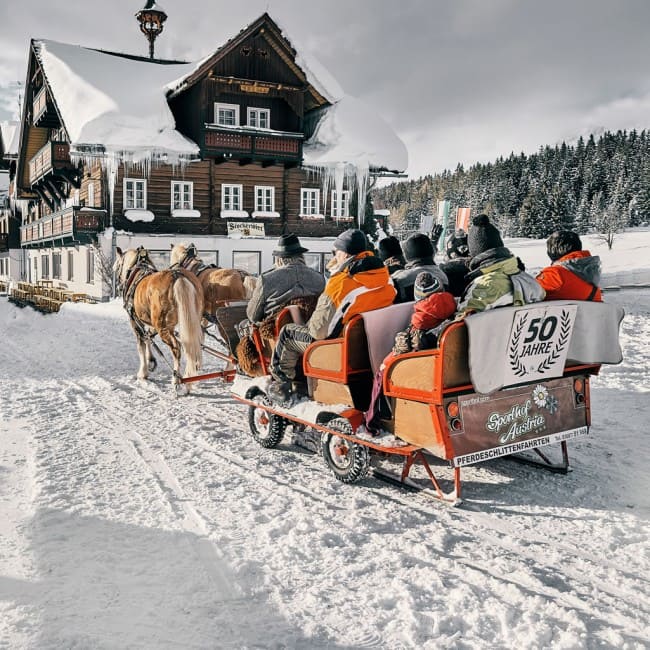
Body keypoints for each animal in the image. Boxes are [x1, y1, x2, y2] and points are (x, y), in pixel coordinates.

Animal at [114, 247, 204, 390]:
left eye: (118, 264)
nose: (118, 286)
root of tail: (177, 276)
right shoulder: (152, 324)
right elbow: (148, 337)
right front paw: (151, 361)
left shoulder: (135, 322)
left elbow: (141, 344)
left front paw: (143, 372)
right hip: (190, 322)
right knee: (191, 345)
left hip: (163, 327)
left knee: (176, 347)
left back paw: (177, 379)